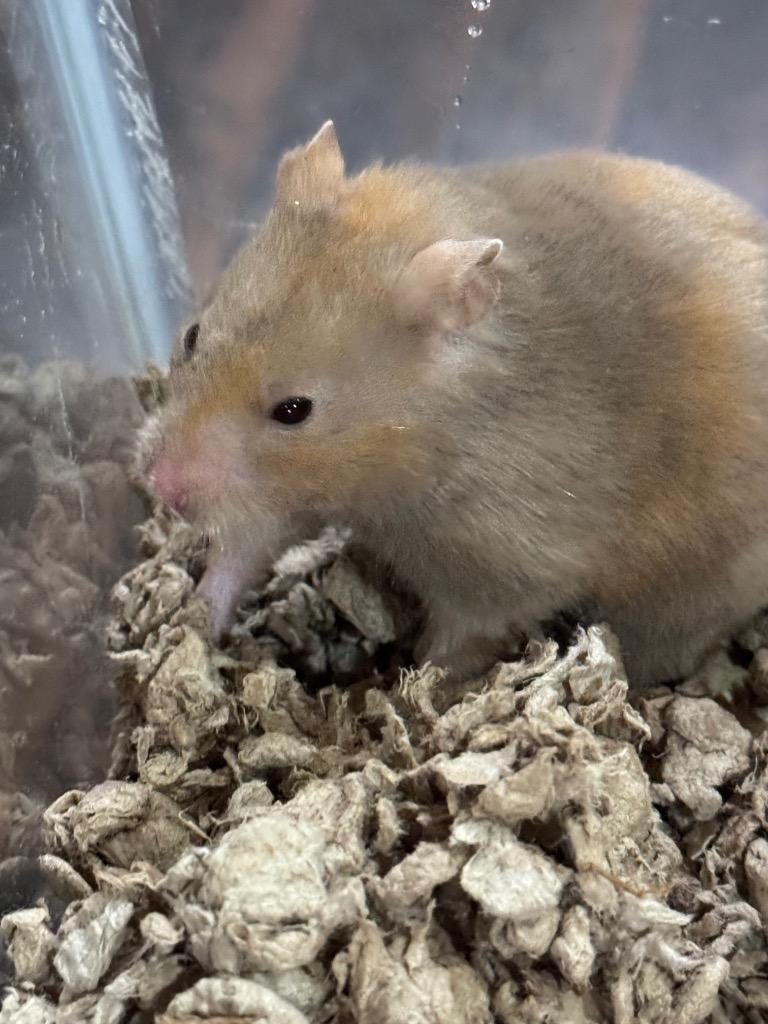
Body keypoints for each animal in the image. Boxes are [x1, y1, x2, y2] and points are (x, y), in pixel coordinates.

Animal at [145, 120, 768, 686]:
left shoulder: (509, 563)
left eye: (294, 410)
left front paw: (419, 690)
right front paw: (196, 620)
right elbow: (241, 554)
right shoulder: (287, 494)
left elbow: (462, 639)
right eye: (192, 336)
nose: (160, 487)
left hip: (692, 592)